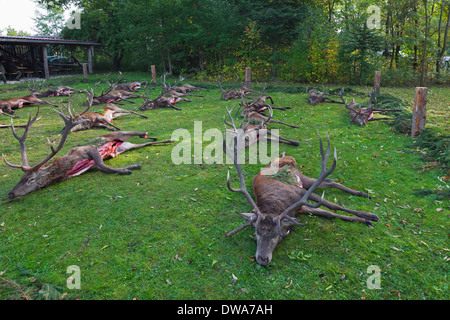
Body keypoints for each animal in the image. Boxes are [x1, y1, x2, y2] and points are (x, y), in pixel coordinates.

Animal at [3, 106, 172, 199]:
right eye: (21, 178)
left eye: (31, 179)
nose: (10, 194)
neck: (66, 169)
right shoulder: (91, 166)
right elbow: (104, 168)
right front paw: (131, 166)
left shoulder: (89, 150)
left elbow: (104, 166)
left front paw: (127, 170)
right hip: (126, 146)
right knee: (146, 143)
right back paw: (164, 140)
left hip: (124, 134)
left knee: (141, 132)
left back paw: (157, 136)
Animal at [224, 126, 376, 266]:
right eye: (256, 232)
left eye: (277, 234)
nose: (262, 259)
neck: (275, 205)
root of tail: (288, 159)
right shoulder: (300, 209)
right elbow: (329, 214)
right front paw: (363, 220)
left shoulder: (301, 194)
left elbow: (332, 205)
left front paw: (369, 215)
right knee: (328, 181)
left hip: (302, 177)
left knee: (330, 181)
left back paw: (363, 194)